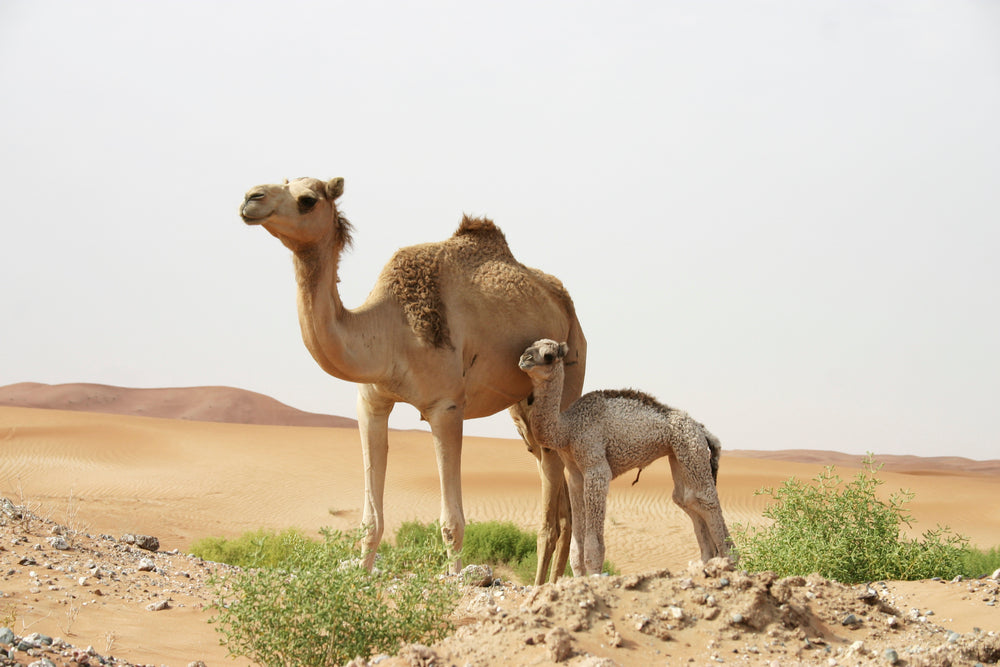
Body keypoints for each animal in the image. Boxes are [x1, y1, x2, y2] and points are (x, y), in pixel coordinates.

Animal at [239, 177, 586, 582]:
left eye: (307, 199)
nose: (250, 198)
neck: (391, 328)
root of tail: (565, 304)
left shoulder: (446, 407)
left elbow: (452, 522)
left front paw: (454, 580)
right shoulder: (371, 403)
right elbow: (370, 519)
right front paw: (362, 575)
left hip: (571, 366)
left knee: (558, 489)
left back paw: (548, 583)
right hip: (523, 410)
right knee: (553, 483)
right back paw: (555, 580)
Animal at [518, 339, 731, 576]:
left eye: (548, 355)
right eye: (530, 346)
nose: (524, 359)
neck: (567, 429)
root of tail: (702, 429)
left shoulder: (595, 465)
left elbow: (593, 543)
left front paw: (594, 576)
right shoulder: (575, 474)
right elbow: (576, 546)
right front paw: (578, 577)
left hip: (691, 447)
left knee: (706, 499)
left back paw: (728, 561)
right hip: (679, 453)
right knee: (687, 498)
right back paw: (707, 563)